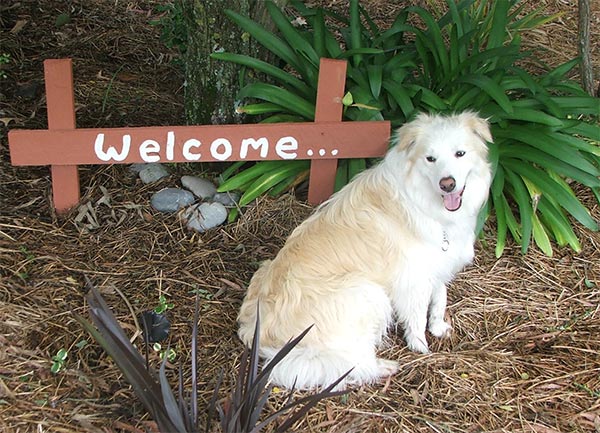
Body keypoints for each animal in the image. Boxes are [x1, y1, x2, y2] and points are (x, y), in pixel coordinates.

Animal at [237, 110, 494, 388]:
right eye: (430, 158)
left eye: (460, 153)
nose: (447, 184)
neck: (423, 199)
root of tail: (258, 335)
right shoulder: (412, 279)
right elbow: (416, 317)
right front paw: (421, 347)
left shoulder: (437, 264)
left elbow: (440, 298)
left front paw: (437, 327)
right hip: (367, 292)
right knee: (352, 363)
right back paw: (383, 367)